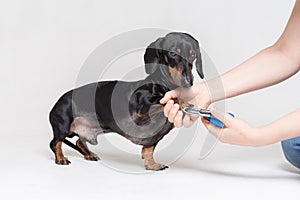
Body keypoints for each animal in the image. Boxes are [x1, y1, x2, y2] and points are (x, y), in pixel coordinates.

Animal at [49, 31, 204, 170]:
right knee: (55, 143)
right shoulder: (139, 112)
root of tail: (54, 105)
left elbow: (148, 150)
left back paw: (90, 154)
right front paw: (181, 101)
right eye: (172, 53)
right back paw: (61, 158)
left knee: (79, 142)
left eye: (193, 55)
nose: (188, 82)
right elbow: (165, 100)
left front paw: (152, 165)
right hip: (63, 126)